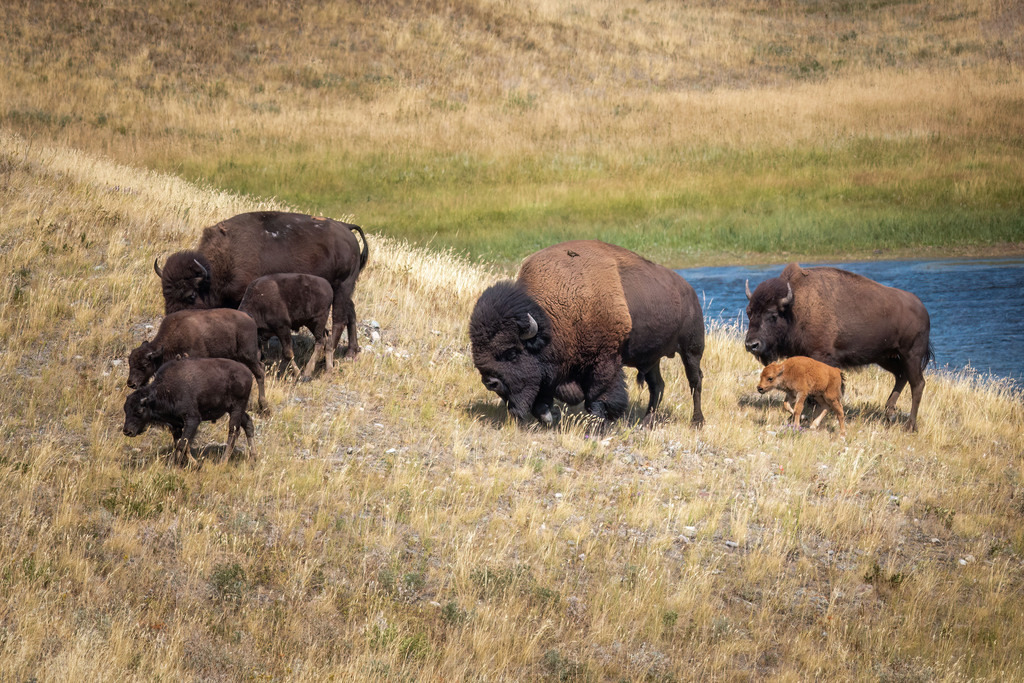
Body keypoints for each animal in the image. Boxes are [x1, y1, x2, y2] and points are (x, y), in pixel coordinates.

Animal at [122, 358, 257, 466]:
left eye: (139, 411)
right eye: (125, 410)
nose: (127, 431)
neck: (164, 391)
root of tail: (247, 372)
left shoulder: (193, 419)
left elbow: (182, 444)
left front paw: (182, 464)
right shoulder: (176, 425)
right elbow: (180, 444)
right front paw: (189, 463)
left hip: (236, 408)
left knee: (233, 431)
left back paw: (222, 462)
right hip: (234, 409)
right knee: (248, 423)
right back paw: (253, 458)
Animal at [127, 308, 268, 412]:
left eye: (144, 364)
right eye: (130, 363)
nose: (131, 383)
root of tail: (249, 318)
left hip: (248, 355)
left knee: (260, 372)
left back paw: (263, 406)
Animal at [154, 211, 369, 357]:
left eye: (191, 295)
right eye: (165, 294)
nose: (173, 322)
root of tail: (346, 228)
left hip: (342, 287)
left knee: (339, 320)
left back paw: (326, 358)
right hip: (344, 290)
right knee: (351, 313)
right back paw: (350, 352)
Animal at [469, 240, 705, 427]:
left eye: (511, 352)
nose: (490, 382)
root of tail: (689, 290)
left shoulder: (604, 361)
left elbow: (599, 396)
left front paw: (599, 422)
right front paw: (550, 416)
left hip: (692, 349)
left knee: (695, 381)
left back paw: (697, 421)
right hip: (652, 358)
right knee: (657, 386)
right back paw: (647, 421)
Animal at [745, 263, 932, 431]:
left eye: (772, 315)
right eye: (749, 312)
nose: (751, 345)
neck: (795, 308)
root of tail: (923, 309)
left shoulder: (821, 357)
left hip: (911, 355)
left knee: (917, 384)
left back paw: (910, 426)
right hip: (885, 357)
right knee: (901, 375)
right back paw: (889, 415)